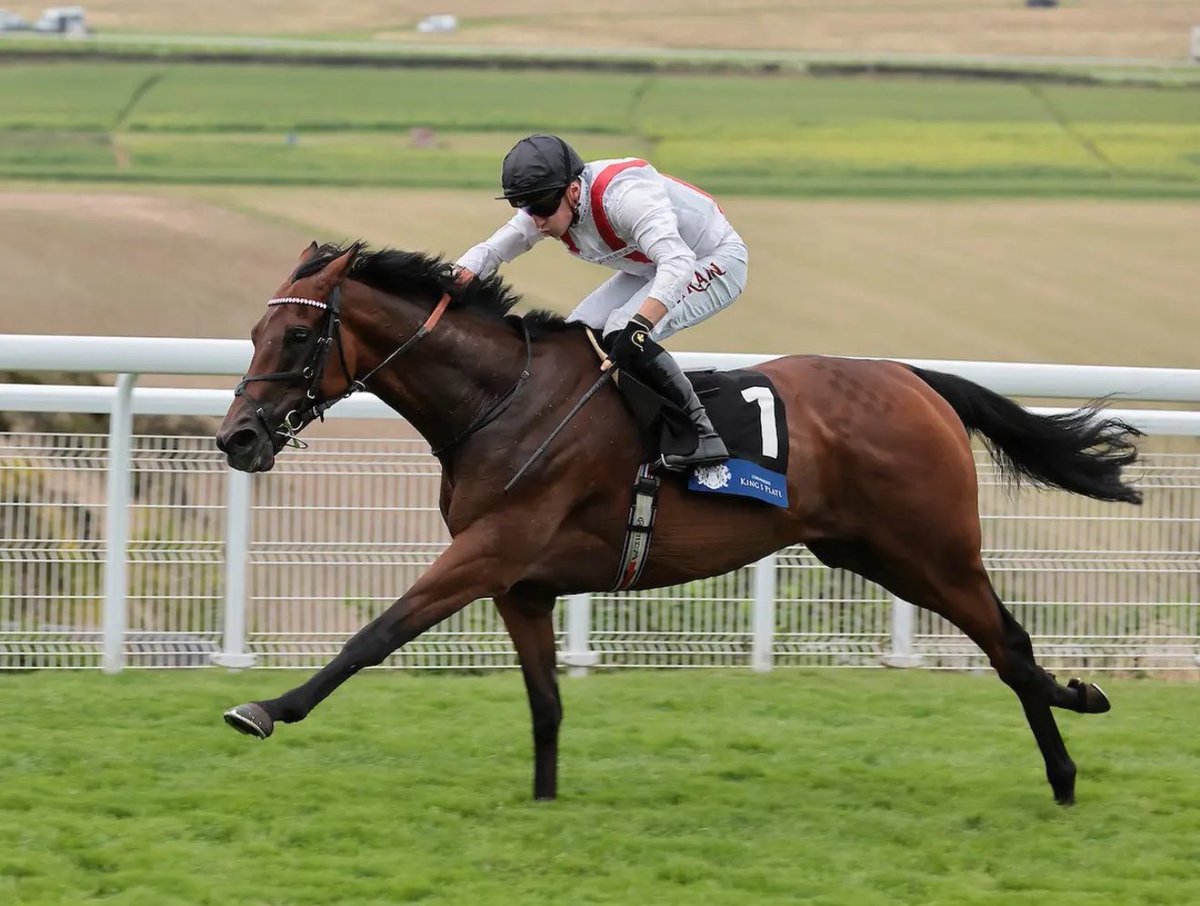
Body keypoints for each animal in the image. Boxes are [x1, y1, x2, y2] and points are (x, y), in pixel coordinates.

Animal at [215, 242, 1142, 805]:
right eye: (253, 329)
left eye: (295, 335)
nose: (237, 437)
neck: (500, 401)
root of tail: (917, 380)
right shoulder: (523, 585)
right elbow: (545, 703)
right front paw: (544, 801)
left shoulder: (489, 552)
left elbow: (376, 635)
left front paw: (266, 708)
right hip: (869, 552)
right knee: (1005, 647)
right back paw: (1079, 701)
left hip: (934, 549)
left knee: (1008, 644)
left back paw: (1065, 766)